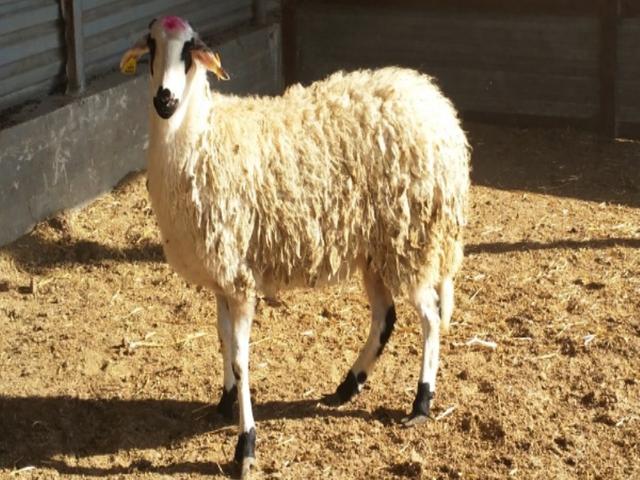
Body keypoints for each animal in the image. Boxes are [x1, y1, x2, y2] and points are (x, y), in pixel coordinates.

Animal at [120, 15, 470, 478]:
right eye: (151, 47)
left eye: (190, 50)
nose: (165, 99)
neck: (200, 135)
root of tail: (436, 103)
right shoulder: (222, 275)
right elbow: (223, 340)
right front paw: (225, 402)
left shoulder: (239, 278)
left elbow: (241, 357)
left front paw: (246, 444)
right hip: (375, 247)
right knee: (385, 317)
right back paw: (347, 385)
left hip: (411, 238)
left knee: (429, 318)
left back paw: (421, 402)